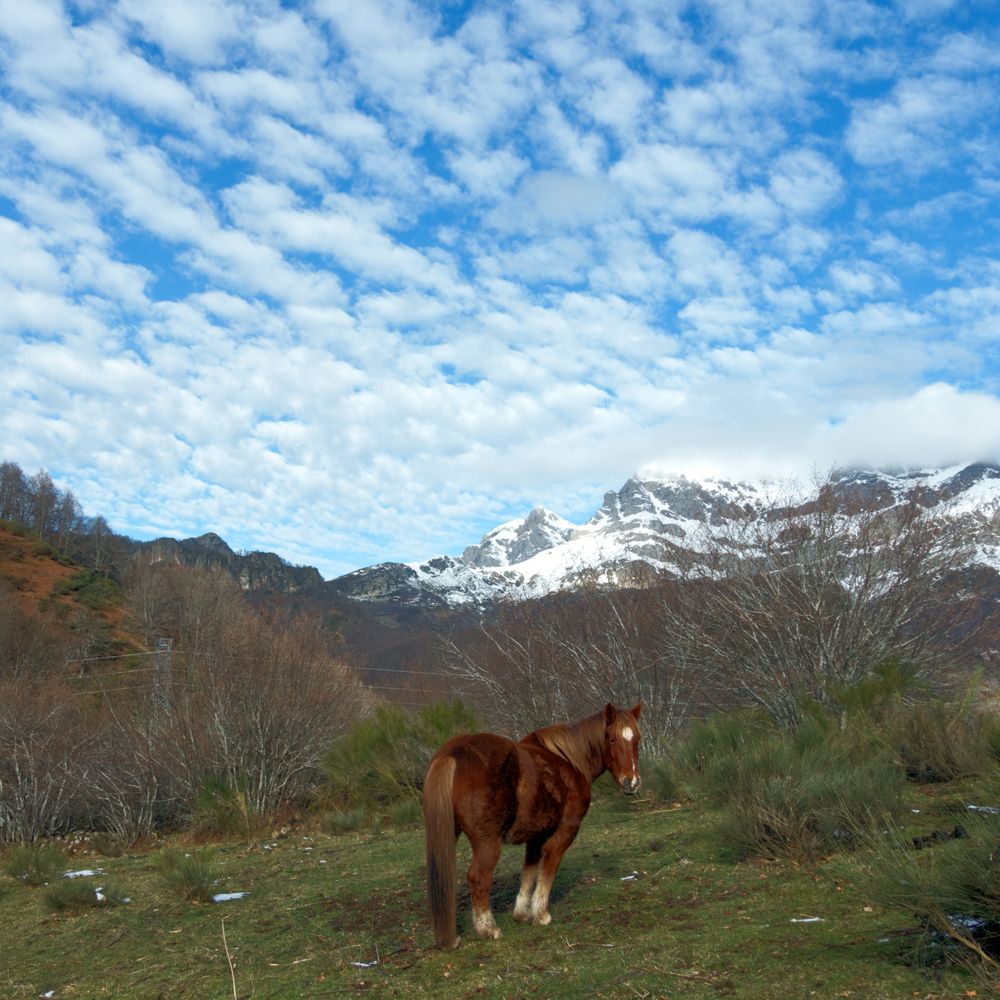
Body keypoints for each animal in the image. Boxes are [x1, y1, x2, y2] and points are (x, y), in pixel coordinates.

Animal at [422, 702, 643, 949]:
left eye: (636, 739)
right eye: (611, 739)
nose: (631, 782)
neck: (569, 762)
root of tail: (451, 754)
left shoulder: (536, 835)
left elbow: (529, 870)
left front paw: (522, 913)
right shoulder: (564, 832)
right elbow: (548, 869)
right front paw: (540, 914)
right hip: (487, 843)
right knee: (478, 877)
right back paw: (488, 928)